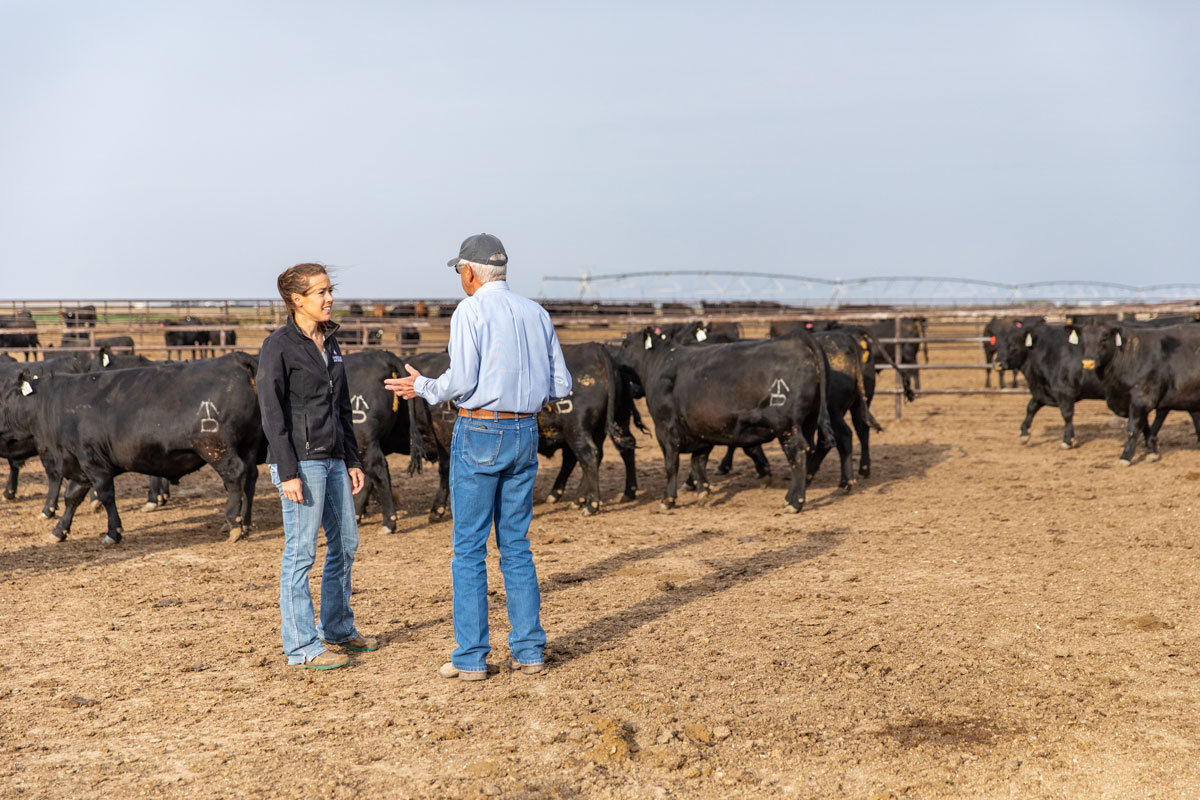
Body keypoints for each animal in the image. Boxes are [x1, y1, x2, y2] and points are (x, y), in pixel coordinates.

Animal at [0, 355, 262, 544]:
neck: (57, 403)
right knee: (249, 479)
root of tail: (235, 359)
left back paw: (234, 524)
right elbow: (71, 497)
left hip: (216, 447)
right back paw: (244, 522)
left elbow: (106, 495)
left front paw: (112, 532)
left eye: (7, 395)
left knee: (235, 475)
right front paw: (59, 531)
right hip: (248, 446)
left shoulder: (93, 462)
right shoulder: (80, 464)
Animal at [619, 326, 835, 510]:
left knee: (797, 453)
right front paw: (703, 494)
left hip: (786, 426)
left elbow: (672, 465)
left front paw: (668, 500)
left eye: (625, 344)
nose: (616, 360)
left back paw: (795, 502)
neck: (660, 362)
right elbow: (698, 463)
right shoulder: (702, 429)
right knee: (808, 450)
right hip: (808, 422)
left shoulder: (666, 429)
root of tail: (797, 337)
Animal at [1075, 323, 1200, 465]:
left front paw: (1125, 457)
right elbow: (1145, 426)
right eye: (1082, 340)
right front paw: (1152, 452)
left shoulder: (1142, 398)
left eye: (1104, 339)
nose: (1088, 362)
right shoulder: (1134, 402)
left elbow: (1133, 428)